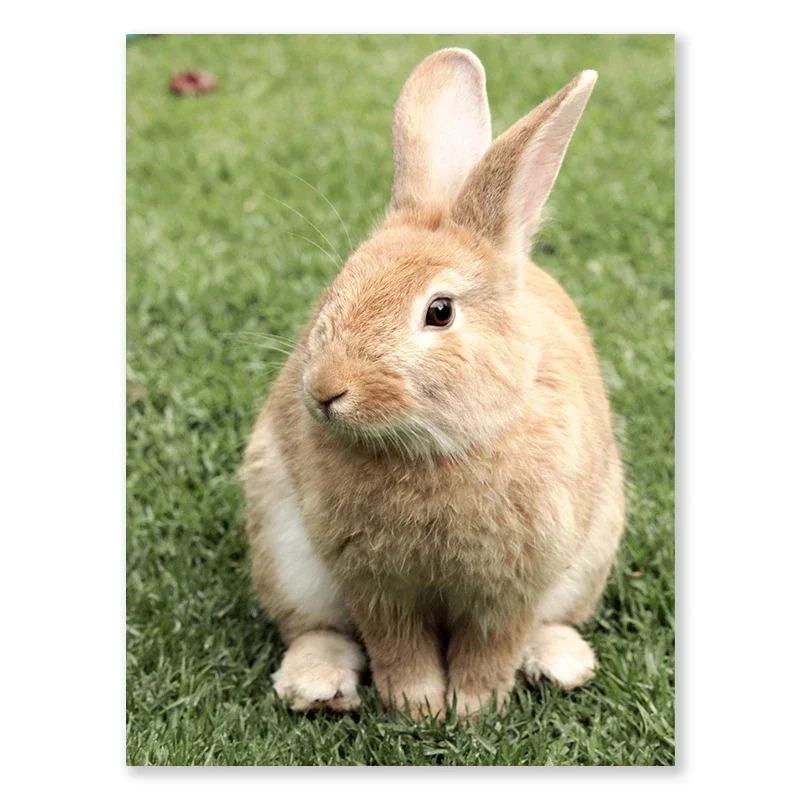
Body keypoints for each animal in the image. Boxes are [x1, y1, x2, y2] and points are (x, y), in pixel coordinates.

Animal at [241, 48, 625, 719]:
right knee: (317, 628)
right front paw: (418, 706)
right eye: (338, 286)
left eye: (439, 311)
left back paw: (560, 666)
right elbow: (398, 644)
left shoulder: (514, 586)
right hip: (285, 553)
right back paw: (317, 688)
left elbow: (492, 645)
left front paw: (471, 709)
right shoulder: (375, 585)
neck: (436, 450)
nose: (325, 391)